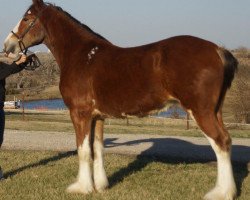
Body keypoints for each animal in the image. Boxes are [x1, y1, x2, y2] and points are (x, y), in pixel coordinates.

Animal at [3, 0, 238, 199]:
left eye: (26, 18)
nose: (7, 46)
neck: (82, 57)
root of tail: (217, 49)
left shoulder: (79, 113)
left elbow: (83, 150)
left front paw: (81, 187)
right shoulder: (98, 116)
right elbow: (97, 149)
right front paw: (100, 185)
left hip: (200, 111)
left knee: (220, 142)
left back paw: (221, 193)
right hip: (215, 110)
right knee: (225, 140)